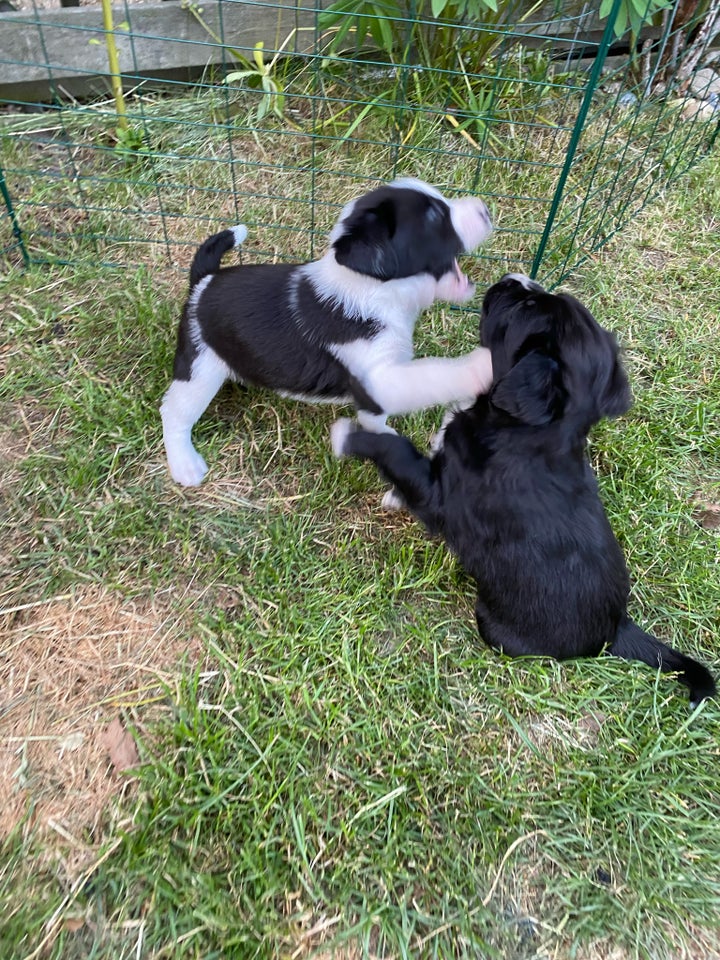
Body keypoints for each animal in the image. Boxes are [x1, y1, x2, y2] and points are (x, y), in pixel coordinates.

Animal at [160, 178, 492, 488]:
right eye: (434, 216)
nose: (486, 210)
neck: (375, 291)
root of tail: (203, 281)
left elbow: (373, 416)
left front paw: (381, 434)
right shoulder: (378, 376)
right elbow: (434, 374)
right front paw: (478, 367)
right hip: (199, 370)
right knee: (173, 412)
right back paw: (185, 465)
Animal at [332, 274, 716, 700]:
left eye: (525, 309)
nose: (513, 279)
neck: (532, 431)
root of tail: (617, 629)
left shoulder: (440, 497)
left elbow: (400, 454)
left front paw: (352, 438)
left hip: (495, 626)